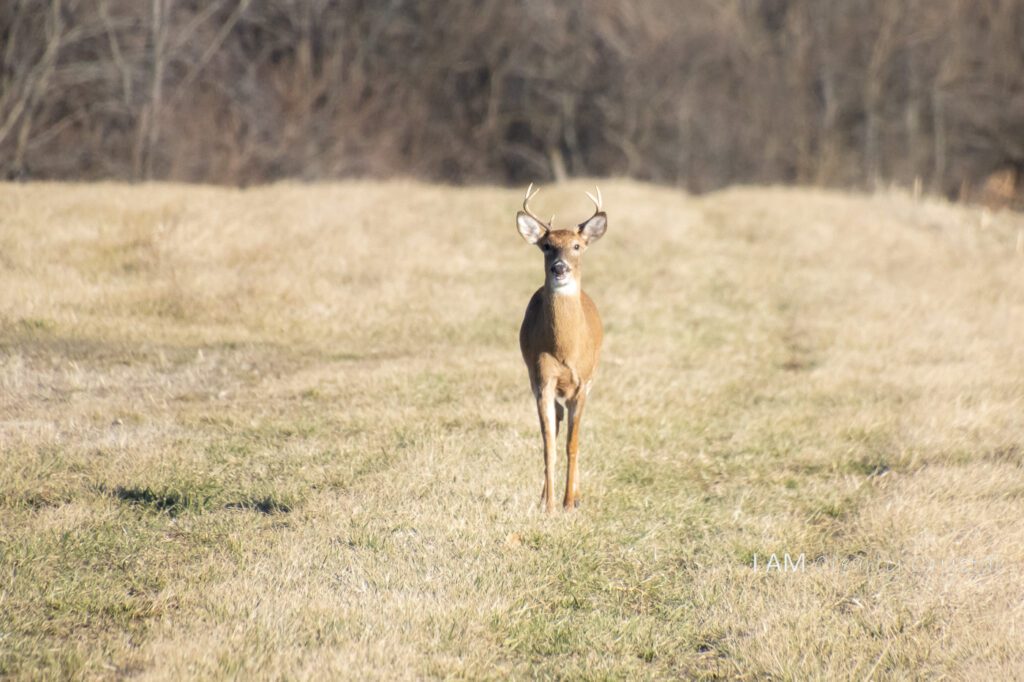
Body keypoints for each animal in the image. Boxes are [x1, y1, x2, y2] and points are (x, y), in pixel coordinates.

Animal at [516, 183, 602, 512]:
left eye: (577, 246)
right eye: (546, 245)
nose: (559, 268)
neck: (566, 349)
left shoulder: (582, 383)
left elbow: (572, 444)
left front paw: (568, 502)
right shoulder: (543, 379)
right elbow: (548, 444)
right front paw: (551, 505)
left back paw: (575, 497)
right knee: (558, 420)